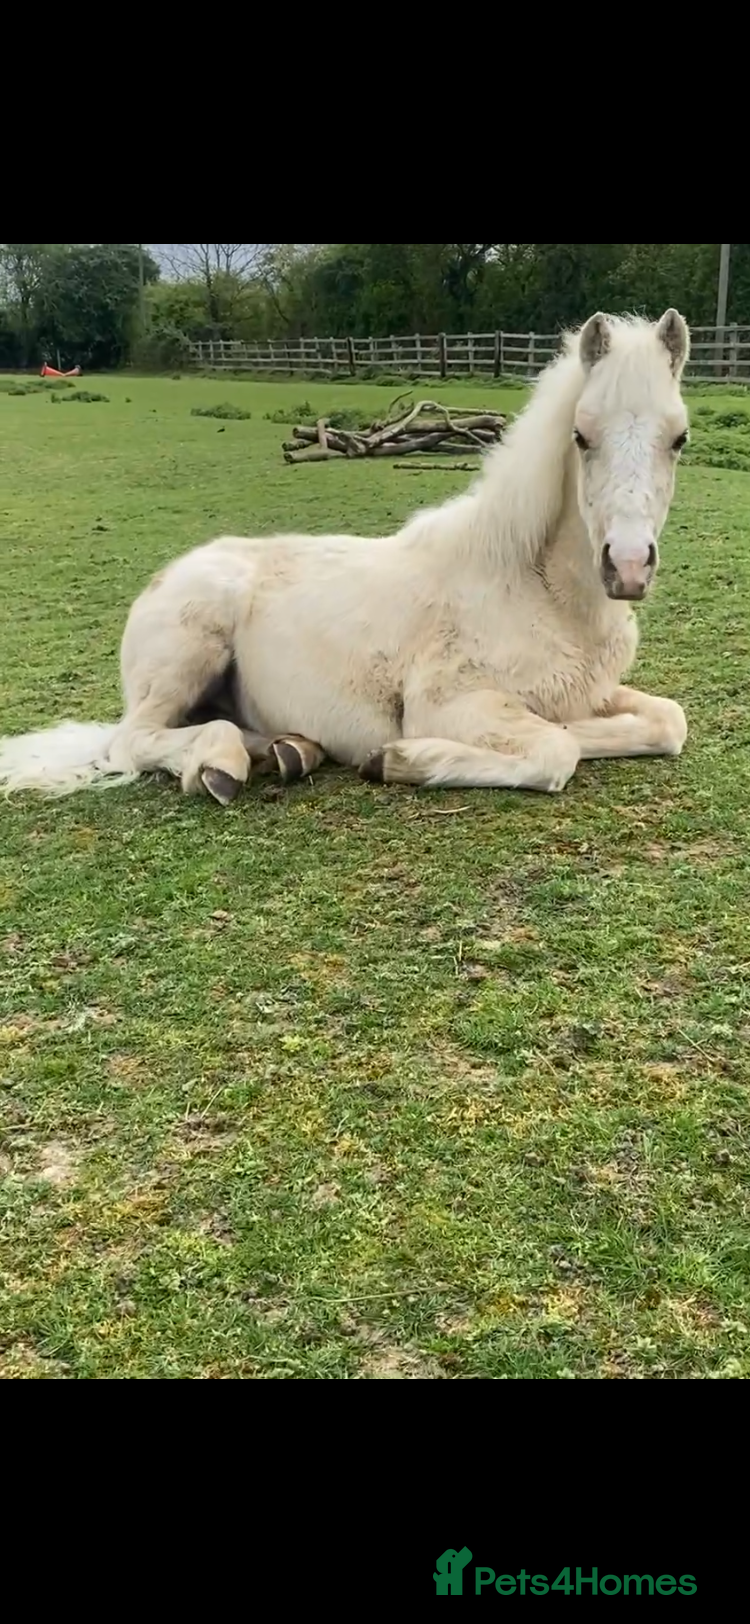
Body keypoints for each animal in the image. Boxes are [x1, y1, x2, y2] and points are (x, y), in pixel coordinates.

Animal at [0, 309, 691, 805]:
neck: (535, 590)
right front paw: (401, 759)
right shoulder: (452, 704)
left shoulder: (594, 695)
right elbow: (555, 752)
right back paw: (220, 764)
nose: (628, 568)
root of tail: (167, 576)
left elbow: (666, 721)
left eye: (679, 438)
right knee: (134, 741)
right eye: (581, 435)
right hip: (187, 654)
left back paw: (288, 752)